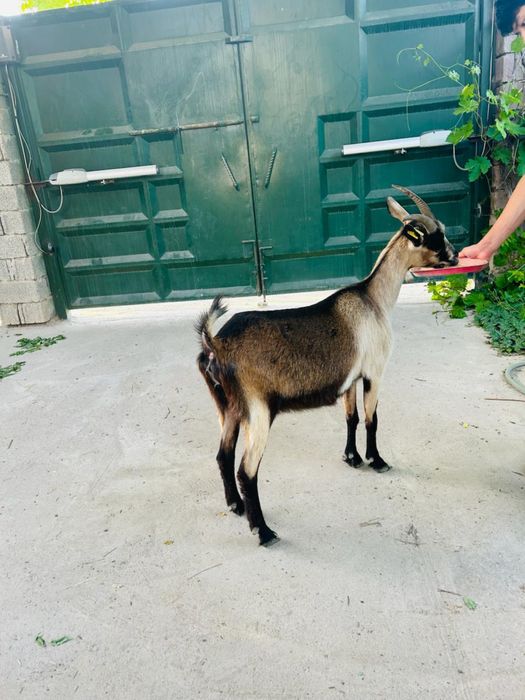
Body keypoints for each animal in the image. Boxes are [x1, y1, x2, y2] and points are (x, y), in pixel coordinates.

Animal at [196, 186, 458, 546]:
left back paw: (235, 506)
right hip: (257, 409)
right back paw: (263, 531)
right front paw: (377, 461)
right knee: (247, 470)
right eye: (436, 236)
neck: (373, 299)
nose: (456, 256)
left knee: (223, 454)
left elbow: (351, 417)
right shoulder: (374, 372)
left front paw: (352, 458)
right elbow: (372, 419)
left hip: (228, 407)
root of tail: (215, 344)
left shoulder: (351, 378)